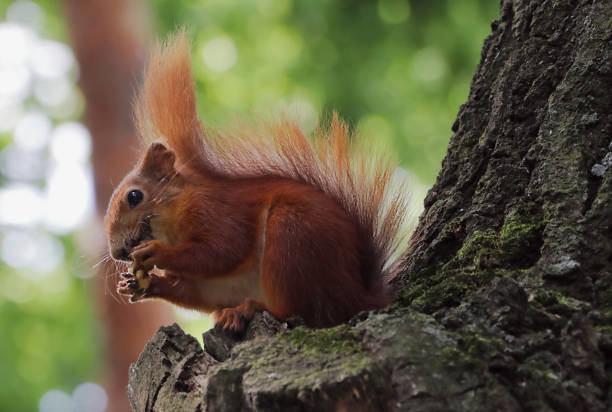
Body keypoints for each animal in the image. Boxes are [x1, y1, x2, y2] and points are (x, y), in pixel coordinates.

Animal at [104, 32, 408, 334]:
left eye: (134, 197)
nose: (117, 252)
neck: (174, 217)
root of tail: (356, 295)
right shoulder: (208, 285)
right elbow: (192, 290)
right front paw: (139, 283)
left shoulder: (217, 210)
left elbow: (223, 250)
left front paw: (157, 253)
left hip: (293, 238)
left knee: (303, 312)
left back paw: (251, 308)